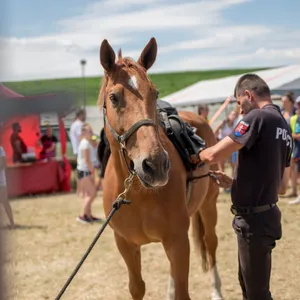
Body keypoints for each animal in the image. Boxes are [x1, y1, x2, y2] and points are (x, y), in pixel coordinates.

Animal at [98, 38, 223, 300]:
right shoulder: (126, 245)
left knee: (211, 242)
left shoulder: (178, 241)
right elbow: (137, 287)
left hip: (209, 206)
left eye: (155, 94)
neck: (138, 193)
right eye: (114, 97)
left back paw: (216, 290)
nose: (155, 165)